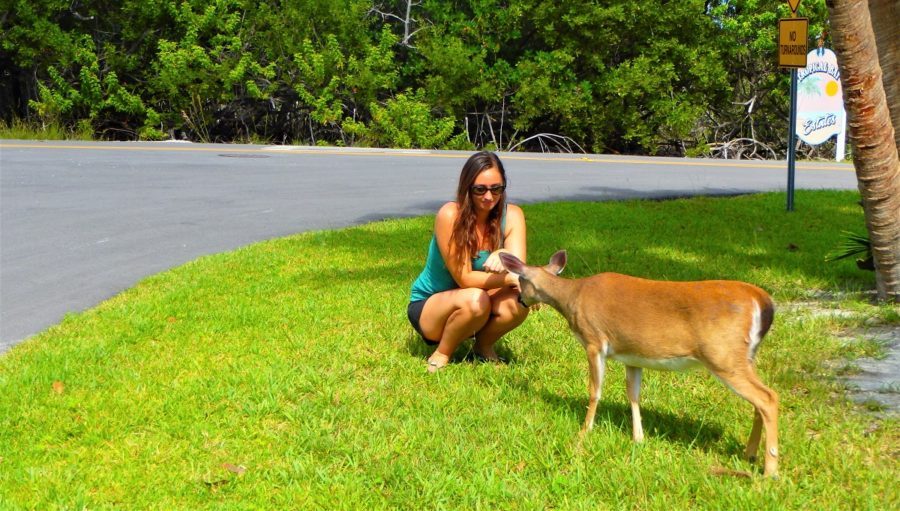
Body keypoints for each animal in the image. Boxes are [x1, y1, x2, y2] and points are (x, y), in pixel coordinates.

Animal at [500, 250, 780, 478]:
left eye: (520, 281)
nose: (520, 300)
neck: (572, 298)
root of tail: (763, 302)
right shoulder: (632, 355)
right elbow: (633, 394)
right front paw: (638, 438)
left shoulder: (594, 341)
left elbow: (595, 391)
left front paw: (584, 432)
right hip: (744, 356)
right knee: (759, 401)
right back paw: (750, 454)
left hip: (722, 355)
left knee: (767, 397)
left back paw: (770, 470)